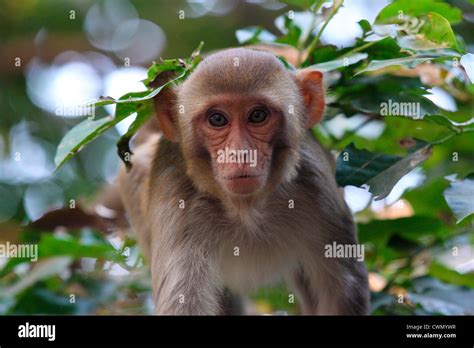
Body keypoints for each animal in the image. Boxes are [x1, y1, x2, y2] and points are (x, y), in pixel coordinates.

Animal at [116, 47, 368, 316]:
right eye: (217, 119)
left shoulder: (318, 190)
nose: (240, 154)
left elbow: (342, 292)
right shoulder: (178, 203)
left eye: (258, 115)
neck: (246, 209)